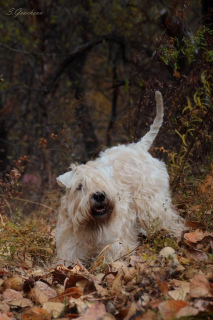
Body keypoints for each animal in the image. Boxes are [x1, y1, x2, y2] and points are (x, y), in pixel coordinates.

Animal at [56, 91, 185, 264]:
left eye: (103, 181)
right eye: (79, 186)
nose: (99, 195)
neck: (92, 228)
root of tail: (139, 147)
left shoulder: (115, 244)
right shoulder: (70, 249)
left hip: (152, 204)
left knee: (169, 219)